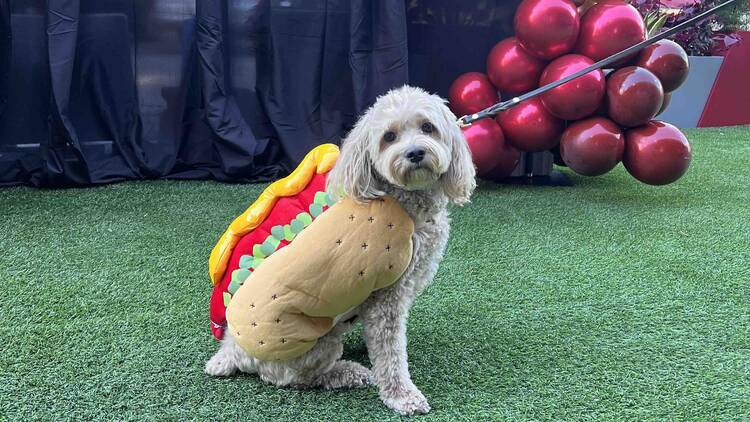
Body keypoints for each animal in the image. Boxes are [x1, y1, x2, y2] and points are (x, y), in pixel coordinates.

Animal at [204, 85, 476, 416]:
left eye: (427, 127)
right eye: (389, 136)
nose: (414, 153)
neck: (400, 196)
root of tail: (230, 350)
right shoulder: (387, 298)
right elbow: (391, 353)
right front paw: (403, 396)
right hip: (314, 343)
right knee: (294, 378)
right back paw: (349, 372)